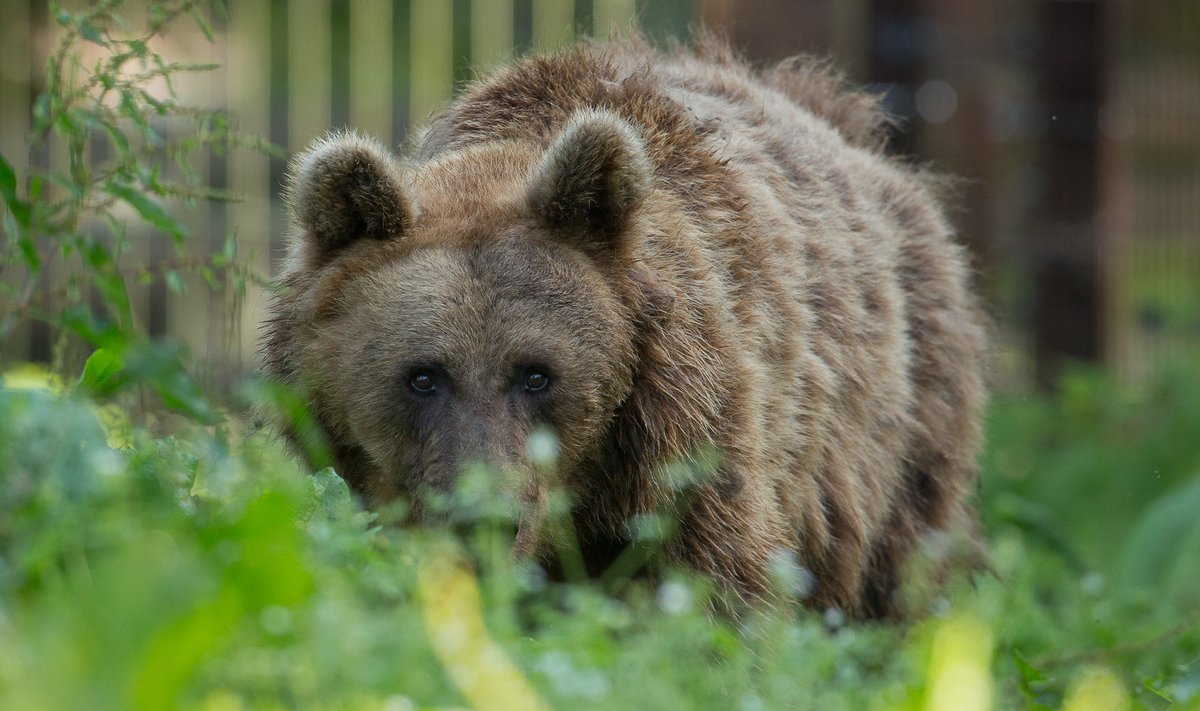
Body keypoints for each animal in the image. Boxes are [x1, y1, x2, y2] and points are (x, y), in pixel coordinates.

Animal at [262, 36, 984, 619]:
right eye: (422, 376)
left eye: (536, 373)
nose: (486, 518)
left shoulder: (686, 433)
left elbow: (719, 586)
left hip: (888, 427)